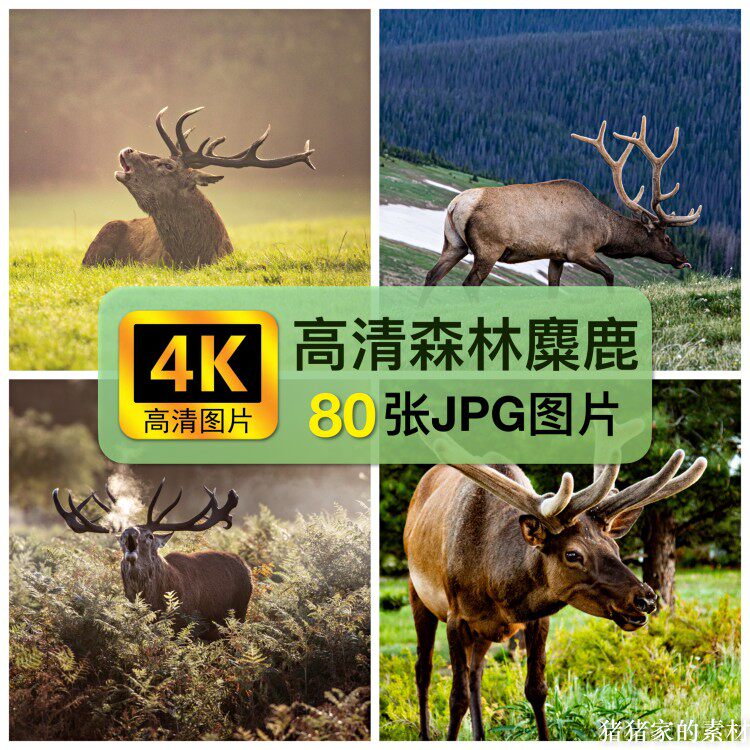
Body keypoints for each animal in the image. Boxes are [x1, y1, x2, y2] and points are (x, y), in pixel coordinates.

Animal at [53, 479, 253, 641]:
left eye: (149, 536)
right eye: (120, 537)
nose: (130, 532)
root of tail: (245, 566)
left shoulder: (190, 626)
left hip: (239, 616)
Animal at [404, 451, 707, 740]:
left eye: (616, 548)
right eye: (572, 554)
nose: (646, 599)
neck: (497, 589)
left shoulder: (537, 617)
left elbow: (536, 689)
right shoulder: (457, 616)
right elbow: (457, 699)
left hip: (483, 632)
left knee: (475, 673)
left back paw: (479, 736)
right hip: (417, 593)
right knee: (423, 669)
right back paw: (424, 734)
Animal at [425, 116, 702, 287]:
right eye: (667, 238)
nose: (683, 258)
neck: (605, 231)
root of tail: (456, 205)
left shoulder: (557, 256)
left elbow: (554, 287)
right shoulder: (580, 250)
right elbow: (610, 275)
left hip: (454, 243)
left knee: (431, 275)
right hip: (488, 247)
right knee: (468, 283)